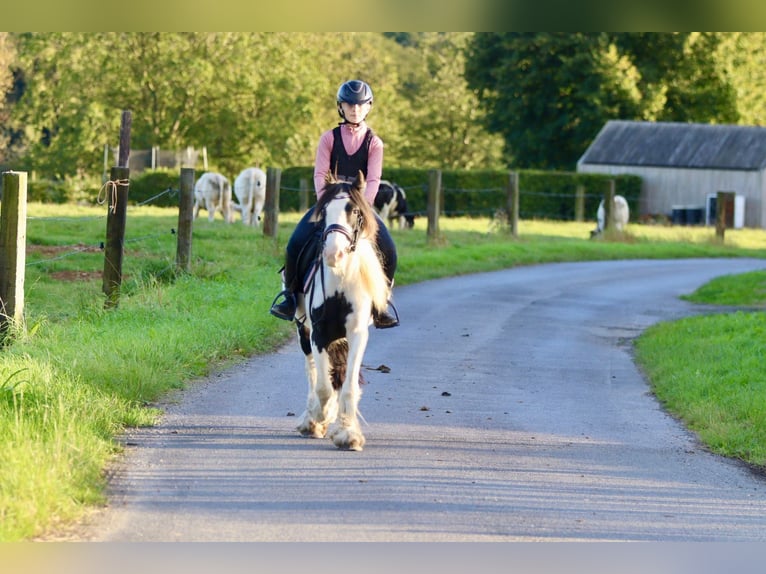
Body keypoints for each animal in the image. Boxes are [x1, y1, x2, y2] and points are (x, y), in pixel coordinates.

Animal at [292, 173, 392, 452]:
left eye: (354, 211)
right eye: (324, 211)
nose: (332, 254)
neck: (340, 281)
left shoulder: (356, 333)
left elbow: (347, 385)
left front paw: (348, 434)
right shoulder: (318, 333)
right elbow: (323, 387)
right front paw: (321, 417)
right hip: (303, 330)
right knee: (312, 372)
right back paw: (311, 419)